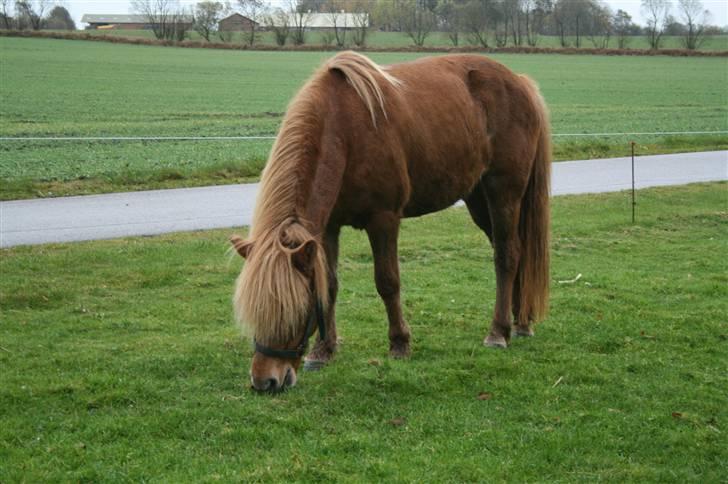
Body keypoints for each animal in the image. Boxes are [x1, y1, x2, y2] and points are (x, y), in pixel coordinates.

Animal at [233, 52, 552, 394]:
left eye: (293, 312)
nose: (265, 381)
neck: (343, 132)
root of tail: (519, 81)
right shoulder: (328, 228)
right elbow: (329, 285)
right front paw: (323, 351)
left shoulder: (383, 219)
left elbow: (387, 282)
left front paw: (399, 344)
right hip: (478, 199)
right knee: (515, 253)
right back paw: (521, 322)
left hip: (503, 192)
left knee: (507, 256)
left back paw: (498, 332)